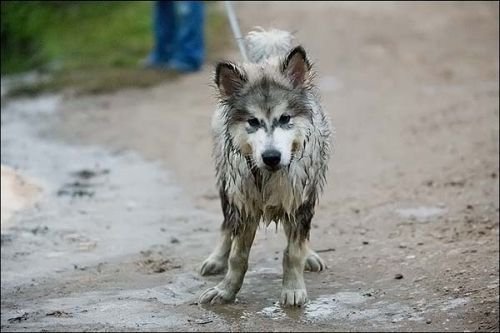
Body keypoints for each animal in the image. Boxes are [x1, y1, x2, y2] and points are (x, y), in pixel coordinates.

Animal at [199, 28, 332, 306]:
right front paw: (226, 290)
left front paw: (293, 288)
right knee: (226, 226)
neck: (268, 176)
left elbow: (293, 252)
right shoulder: (243, 204)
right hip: (226, 186)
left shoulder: (298, 199)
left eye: (285, 119)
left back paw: (309, 254)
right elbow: (237, 257)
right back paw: (216, 258)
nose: (271, 157)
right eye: (253, 121)